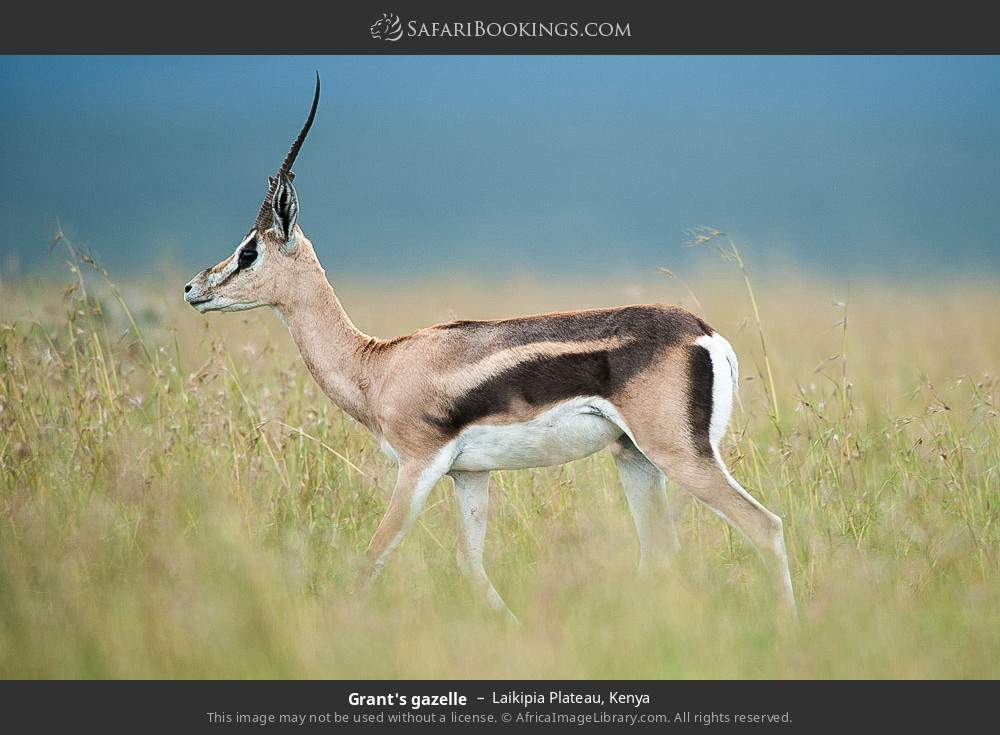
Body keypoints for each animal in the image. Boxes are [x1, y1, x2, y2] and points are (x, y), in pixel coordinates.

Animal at [184, 75, 796, 619]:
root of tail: (705, 333)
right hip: (634, 457)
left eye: (248, 251)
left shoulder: (418, 466)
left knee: (764, 526)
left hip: (678, 456)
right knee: (660, 549)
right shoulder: (470, 475)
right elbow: (469, 563)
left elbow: (374, 556)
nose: (193, 288)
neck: (378, 365)